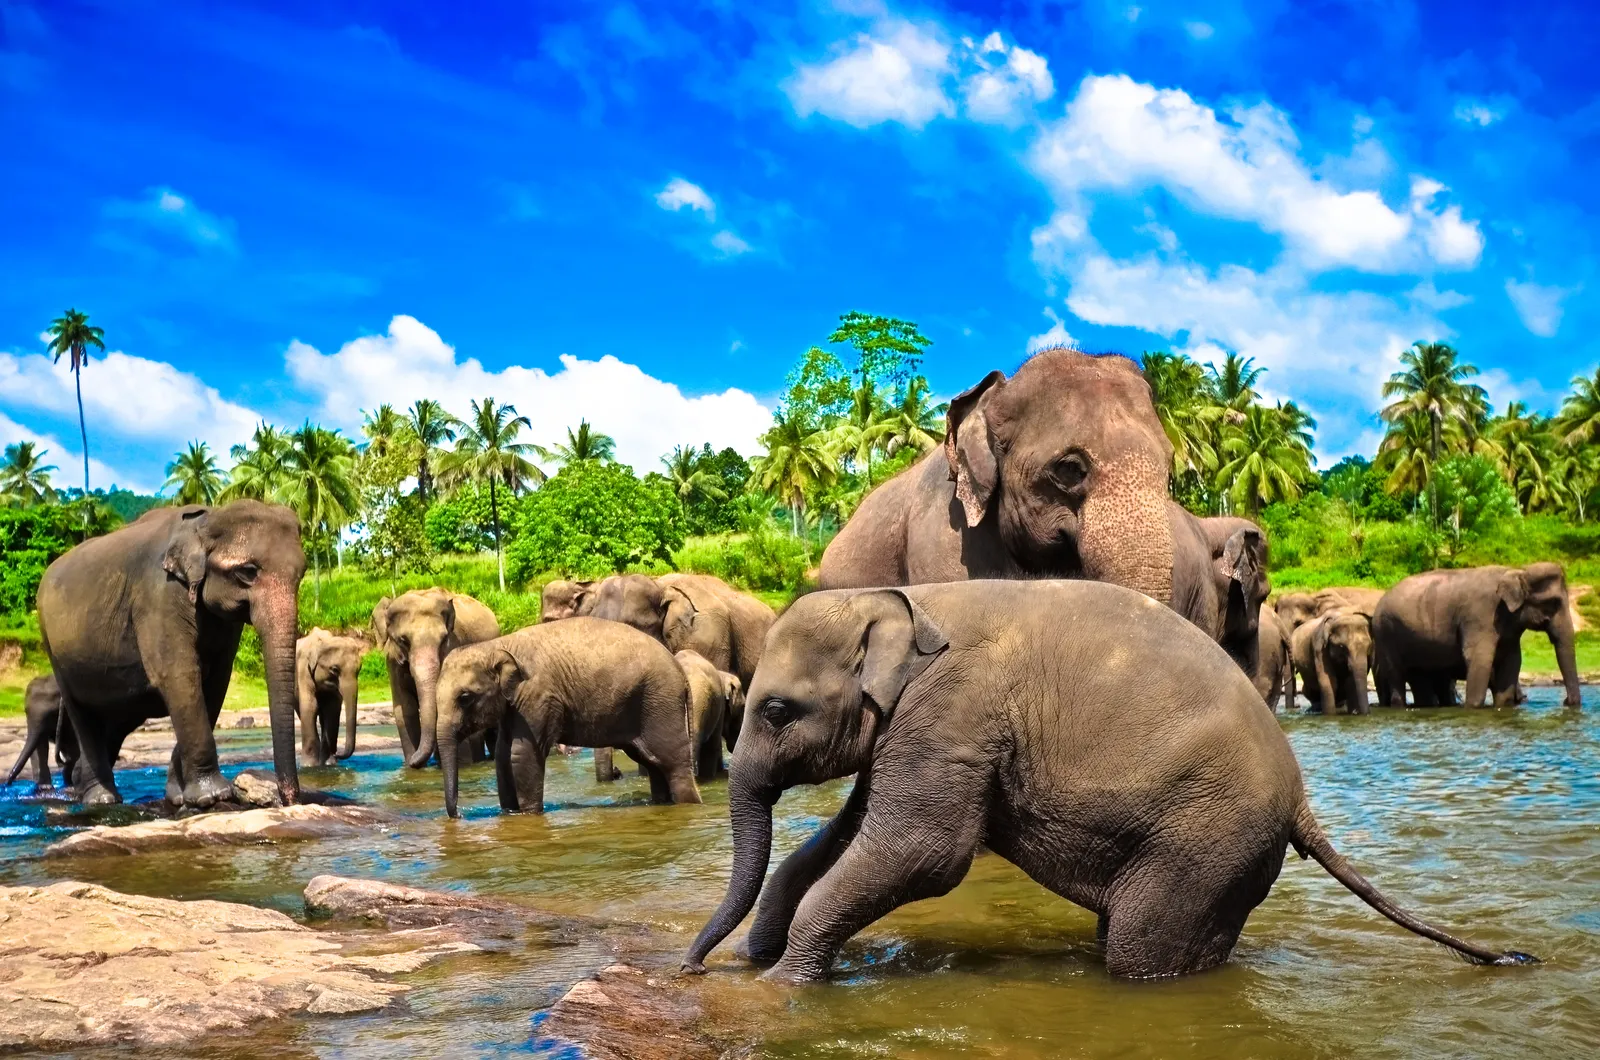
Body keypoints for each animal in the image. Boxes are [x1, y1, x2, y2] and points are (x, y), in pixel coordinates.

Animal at [36, 501, 305, 807]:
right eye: (247, 572)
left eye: (303, 573)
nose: (289, 799)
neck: (206, 519)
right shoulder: (158, 597)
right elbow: (180, 677)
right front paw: (212, 797)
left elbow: (215, 684)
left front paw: (179, 797)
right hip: (53, 649)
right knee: (82, 714)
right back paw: (101, 799)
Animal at [295, 628, 364, 766]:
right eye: (334, 669)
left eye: (359, 669)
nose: (338, 754)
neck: (323, 642)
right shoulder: (303, 669)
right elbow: (310, 707)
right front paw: (309, 766)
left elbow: (332, 710)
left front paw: (329, 764)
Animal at [373, 588, 500, 768]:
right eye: (403, 640)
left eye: (444, 639)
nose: (410, 762)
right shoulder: (392, 660)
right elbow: (405, 709)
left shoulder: (454, 647)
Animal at [433, 617, 702, 817]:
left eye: (464, 697)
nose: (459, 814)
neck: (497, 645)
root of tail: (681, 672)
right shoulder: (514, 705)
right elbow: (501, 755)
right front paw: (510, 814)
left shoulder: (538, 696)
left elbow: (522, 754)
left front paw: (528, 815)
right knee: (653, 763)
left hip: (660, 702)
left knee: (673, 763)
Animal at [1372, 563, 1581, 709]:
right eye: (1554, 603)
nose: (1566, 701)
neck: (1518, 571)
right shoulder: (1480, 616)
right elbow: (1479, 658)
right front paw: (1472, 707)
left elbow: (1512, 661)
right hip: (1385, 634)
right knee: (1397, 675)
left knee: (1419, 678)